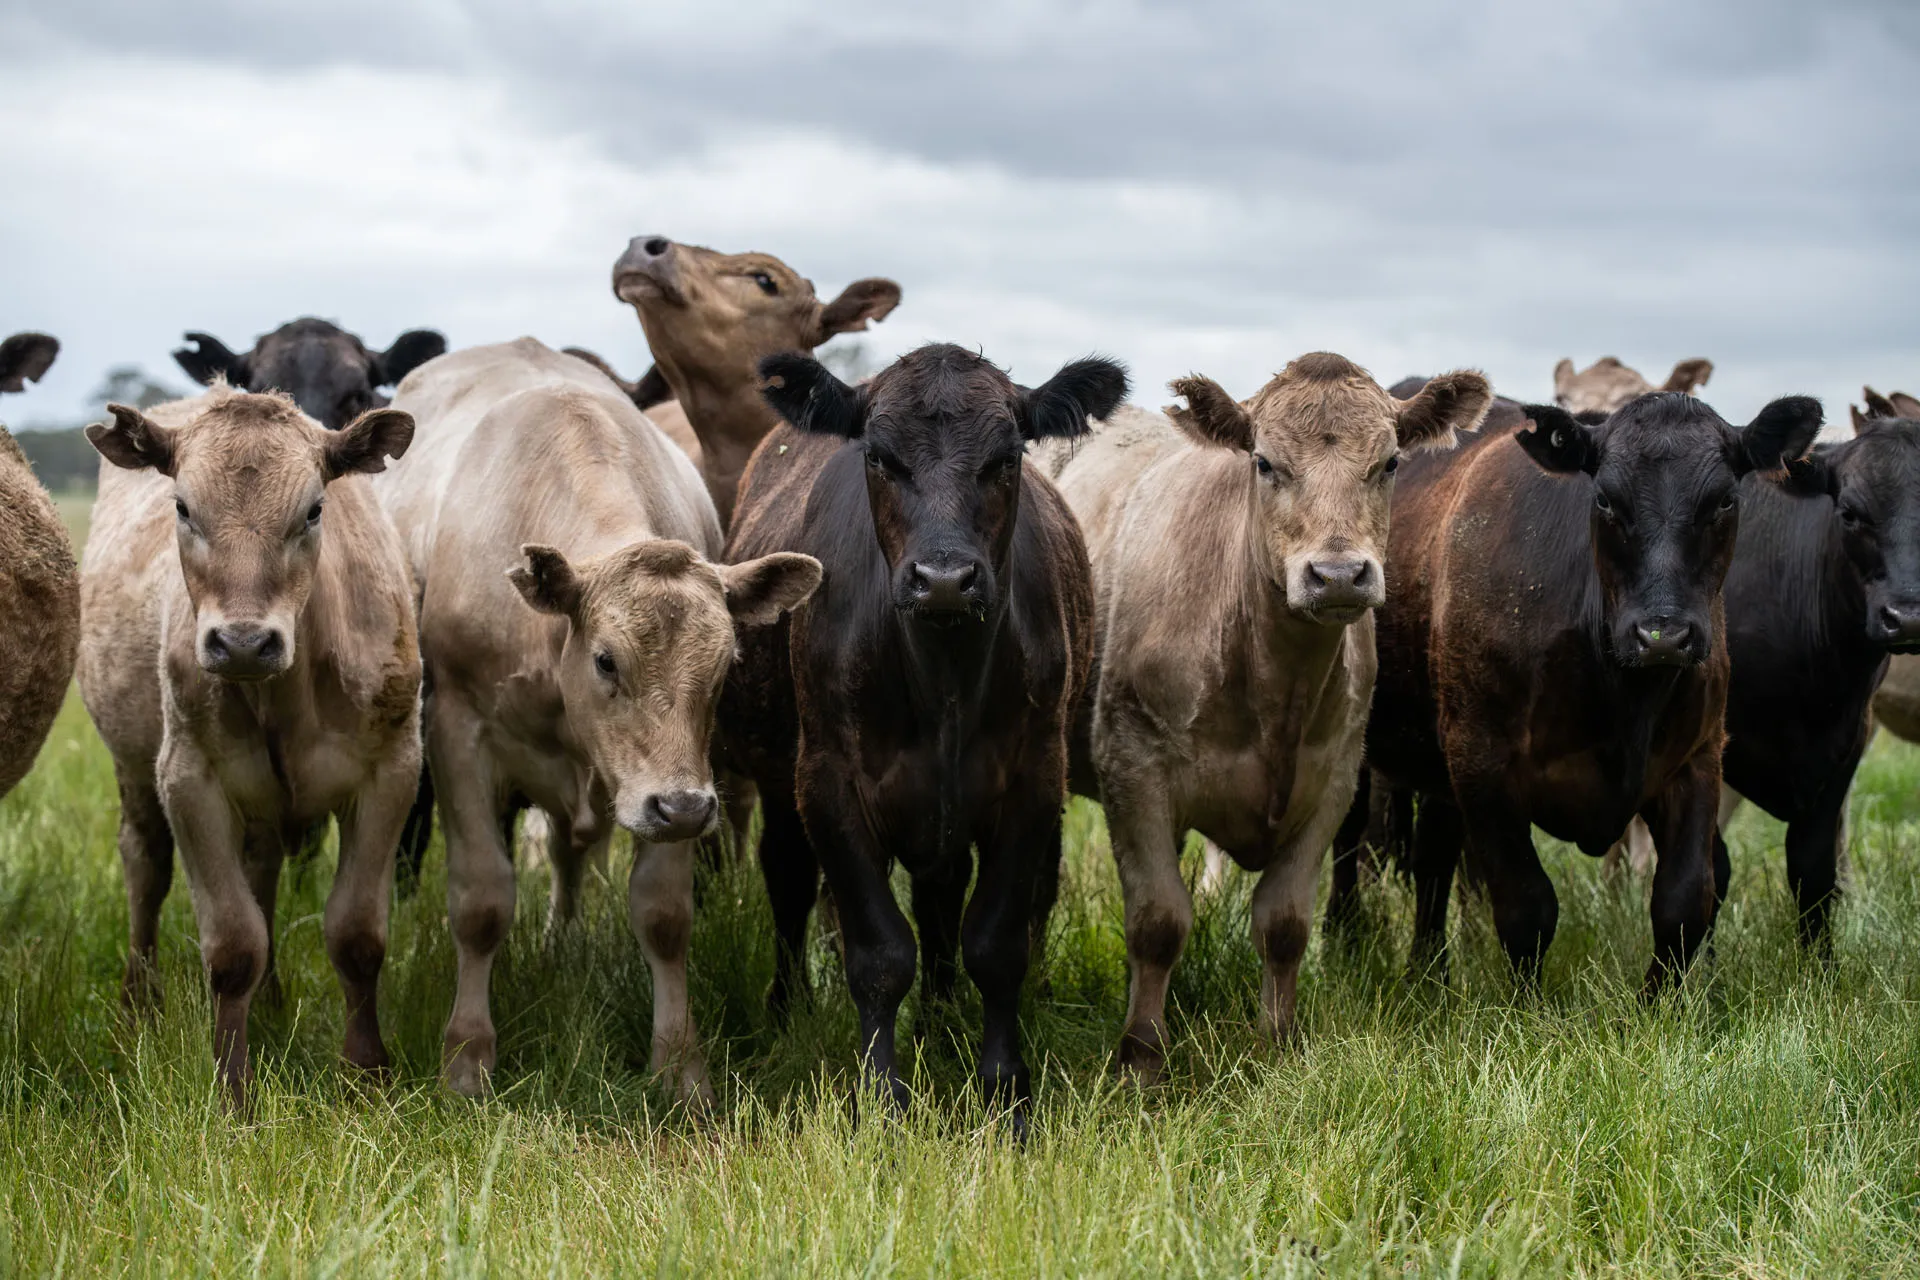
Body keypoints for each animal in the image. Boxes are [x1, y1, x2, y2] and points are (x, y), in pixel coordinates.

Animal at [78, 386, 420, 1107]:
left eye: (314, 509)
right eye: (183, 507)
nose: (241, 643)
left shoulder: (391, 772)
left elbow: (357, 935)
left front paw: (366, 1075)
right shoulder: (189, 780)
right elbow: (234, 945)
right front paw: (233, 1090)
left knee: (260, 872)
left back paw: (270, 1003)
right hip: (134, 768)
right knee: (145, 867)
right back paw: (138, 1005)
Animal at [374, 338, 820, 1103]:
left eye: (726, 662)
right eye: (607, 660)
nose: (682, 807)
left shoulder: (677, 777)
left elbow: (664, 915)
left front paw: (680, 1065)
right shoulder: (459, 735)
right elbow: (482, 901)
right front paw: (467, 1054)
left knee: (567, 854)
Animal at [722, 342, 1126, 1131]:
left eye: (1008, 457)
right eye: (879, 457)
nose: (943, 579)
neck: (944, 680)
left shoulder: (1033, 782)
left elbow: (994, 943)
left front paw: (1004, 1090)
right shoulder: (828, 785)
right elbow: (879, 953)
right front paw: (881, 1100)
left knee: (943, 903)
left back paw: (942, 1024)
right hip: (781, 779)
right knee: (788, 880)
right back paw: (789, 1010)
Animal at [1045, 354, 1491, 1080]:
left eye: (1390, 462)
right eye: (1263, 462)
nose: (1337, 574)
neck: (1273, 686)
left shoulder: (1333, 782)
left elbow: (1284, 925)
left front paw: (1276, 1045)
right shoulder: (1132, 770)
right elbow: (1157, 921)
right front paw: (1141, 1059)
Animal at [1358, 390, 1820, 989]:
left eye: (1723, 500)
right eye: (1604, 499)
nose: (1663, 635)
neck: (1621, 693)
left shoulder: (1697, 758)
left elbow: (1683, 902)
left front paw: (1657, 1004)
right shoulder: (1481, 761)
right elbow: (1527, 906)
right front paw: (1525, 1005)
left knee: (1433, 859)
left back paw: (1428, 974)